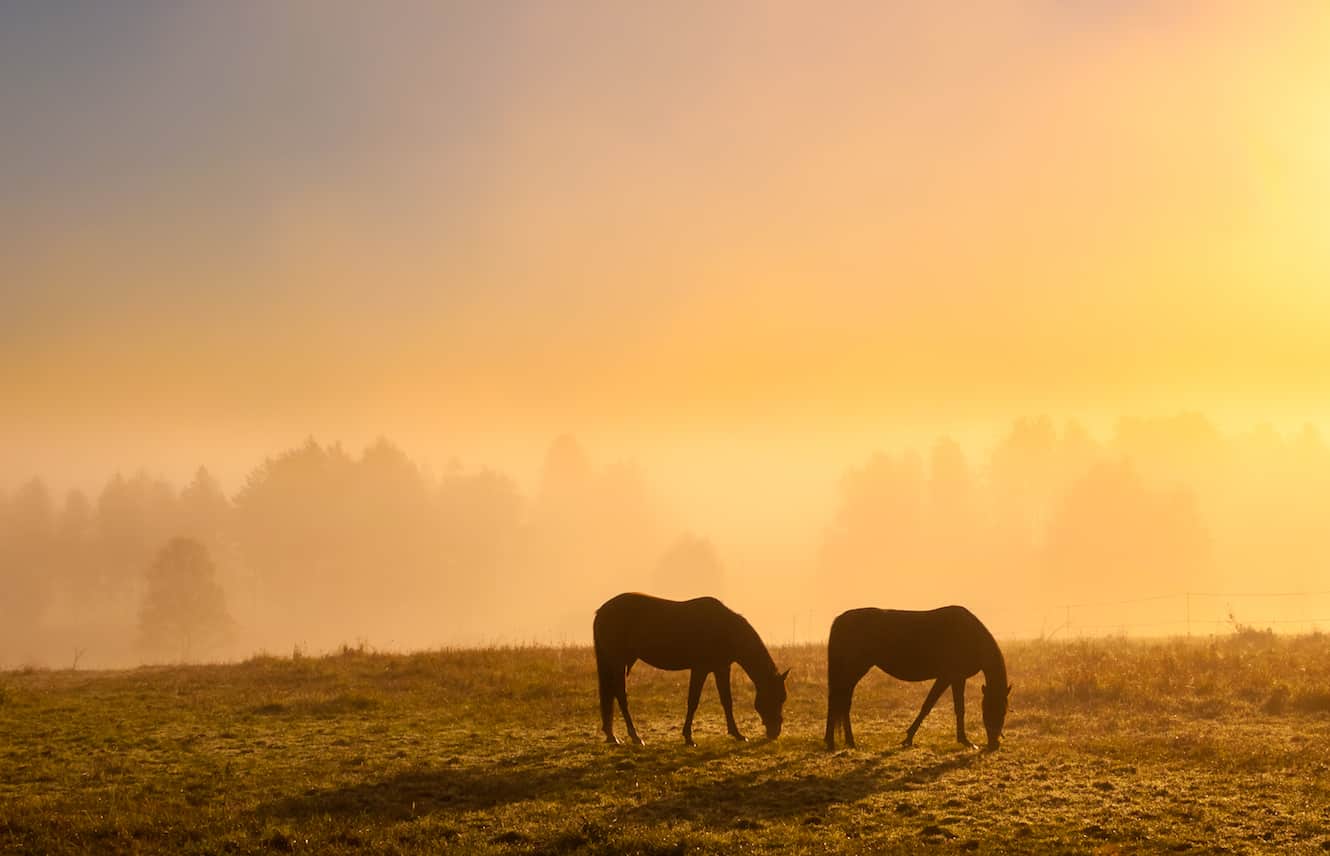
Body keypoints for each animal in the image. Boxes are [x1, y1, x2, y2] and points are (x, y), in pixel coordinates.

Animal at [595, 592, 787, 744]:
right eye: (776, 698)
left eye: (782, 698)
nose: (775, 732)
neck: (725, 629)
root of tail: (601, 611)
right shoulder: (700, 669)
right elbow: (693, 701)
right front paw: (688, 737)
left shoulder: (721, 668)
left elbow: (727, 701)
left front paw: (737, 734)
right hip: (618, 662)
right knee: (620, 695)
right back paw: (635, 737)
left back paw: (612, 736)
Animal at [819, 606, 1005, 754]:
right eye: (993, 709)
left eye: (1004, 711)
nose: (994, 744)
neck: (971, 636)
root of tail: (840, 620)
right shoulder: (949, 677)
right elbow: (933, 707)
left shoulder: (954, 678)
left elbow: (949, 708)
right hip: (853, 670)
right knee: (839, 701)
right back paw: (837, 742)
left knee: (842, 702)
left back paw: (844, 742)